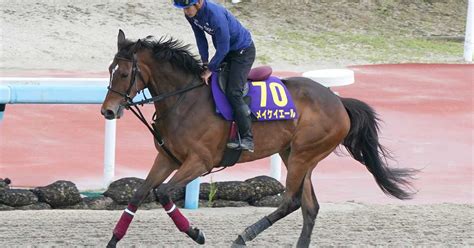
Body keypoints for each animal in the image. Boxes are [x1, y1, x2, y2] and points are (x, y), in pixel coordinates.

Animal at [100, 30, 414, 247]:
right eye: (109, 70)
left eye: (125, 73)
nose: (108, 111)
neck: (183, 100)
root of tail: (338, 101)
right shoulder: (167, 157)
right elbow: (140, 194)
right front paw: (113, 240)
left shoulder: (200, 161)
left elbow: (163, 192)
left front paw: (196, 233)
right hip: (295, 154)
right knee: (309, 207)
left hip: (304, 154)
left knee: (291, 202)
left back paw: (243, 235)